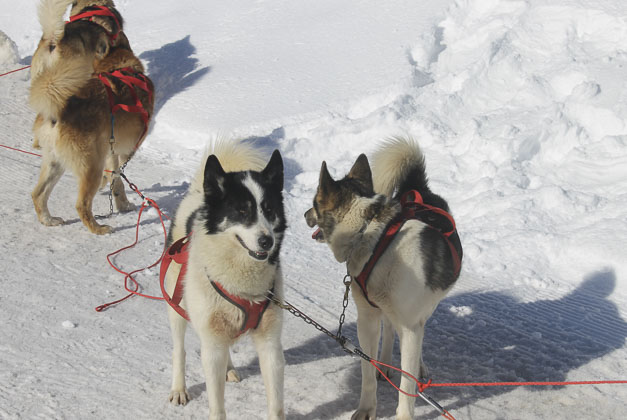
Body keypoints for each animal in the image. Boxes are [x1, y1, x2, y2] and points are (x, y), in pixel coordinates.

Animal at [28, 0, 154, 233]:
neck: (121, 68)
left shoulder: (110, 149)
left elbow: (116, 179)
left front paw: (121, 203)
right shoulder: (127, 148)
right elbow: (116, 175)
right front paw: (121, 200)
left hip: (55, 162)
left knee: (38, 194)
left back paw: (49, 219)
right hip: (91, 166)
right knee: (82, 204)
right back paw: (98, 229)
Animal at [164, 141, 288, 420]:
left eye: (269, 210)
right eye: (242, 211)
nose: (267, 241)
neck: (243, 286)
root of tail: (199, 193)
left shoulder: (270, 343)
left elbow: (276, 403)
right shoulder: (211, 344)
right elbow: (217, 405)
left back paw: (229, 368)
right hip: (177, 306)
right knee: (179, 349)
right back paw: (178, 388)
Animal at [306, 136, 464, 418]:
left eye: (314, 203)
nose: (304, 215)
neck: (374, 235)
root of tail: (418, 187)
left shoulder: (411, 327)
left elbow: (407, 386)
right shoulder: (367, 319)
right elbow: (368, 371)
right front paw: (366, 408)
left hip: (424, 306)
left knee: (415, 330)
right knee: (390, 329)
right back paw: (388, 363)